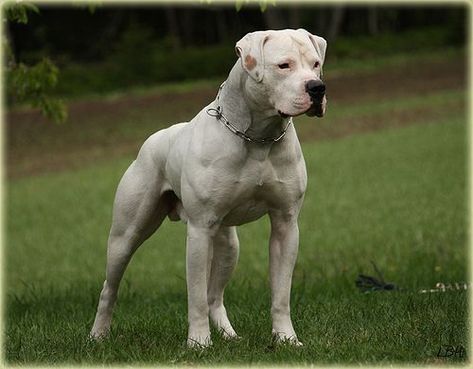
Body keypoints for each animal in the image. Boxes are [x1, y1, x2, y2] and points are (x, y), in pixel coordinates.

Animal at [91, 29, 328, 348]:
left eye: (315, 64)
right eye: (284, 65)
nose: (317, 88)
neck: (257, 137)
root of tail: (152, 140)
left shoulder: (286, 224)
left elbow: (281, 294)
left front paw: (286, 339)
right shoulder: (200, 230)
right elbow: (196, 297)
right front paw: (199, 343)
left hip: (229, 246)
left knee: (215, 295)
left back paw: (230, 335)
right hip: (125, 236)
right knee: (110, 286)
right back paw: (98, 335)